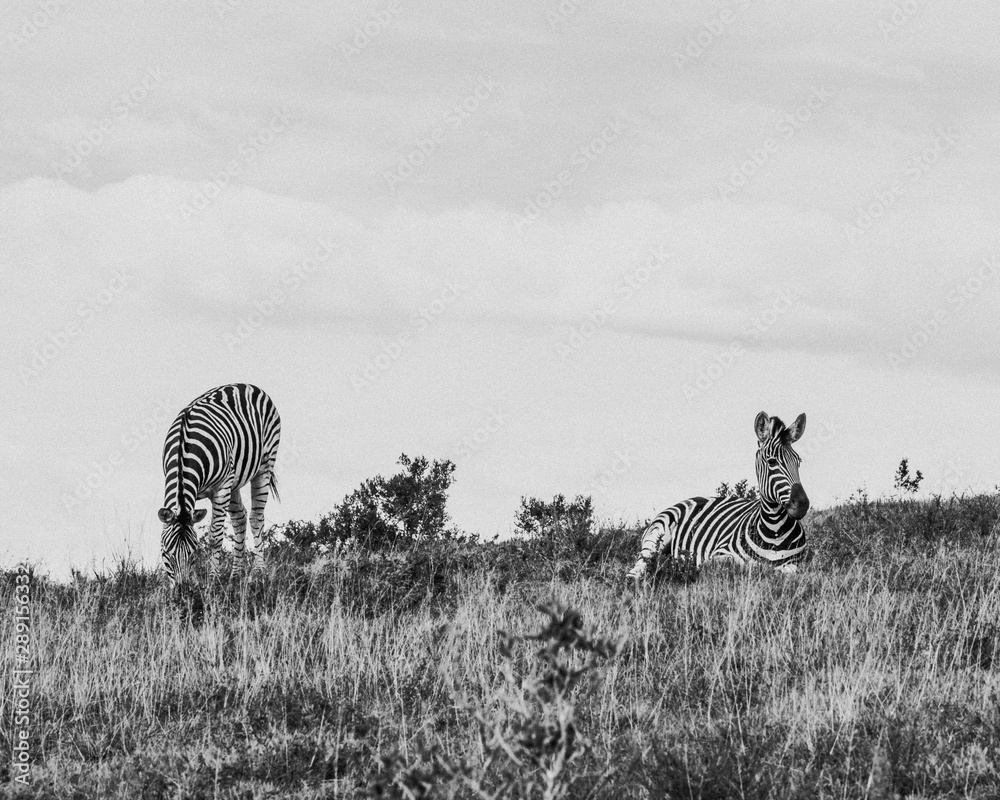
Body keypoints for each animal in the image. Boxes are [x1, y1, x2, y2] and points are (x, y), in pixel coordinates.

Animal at [157, 383, 281, 585]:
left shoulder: (221, 488)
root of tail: (248, 385)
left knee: (256, 518)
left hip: (264, 464)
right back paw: (235, 576)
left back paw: (258, 574)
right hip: (235, 480)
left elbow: (215, 536)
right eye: (166, 554)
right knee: (239, 518)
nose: (183, 589)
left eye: (193, 554)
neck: (184, 451)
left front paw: (213, 580)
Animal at [627, 411, 809, 580]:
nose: (802, 504)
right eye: (771, 462)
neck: (774, 531)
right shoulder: (718, 555)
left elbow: (785, 571)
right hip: (657, 533)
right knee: (643, 561)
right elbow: (742, 567)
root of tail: (692, 498)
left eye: (798, 462)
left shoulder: (797, 562)